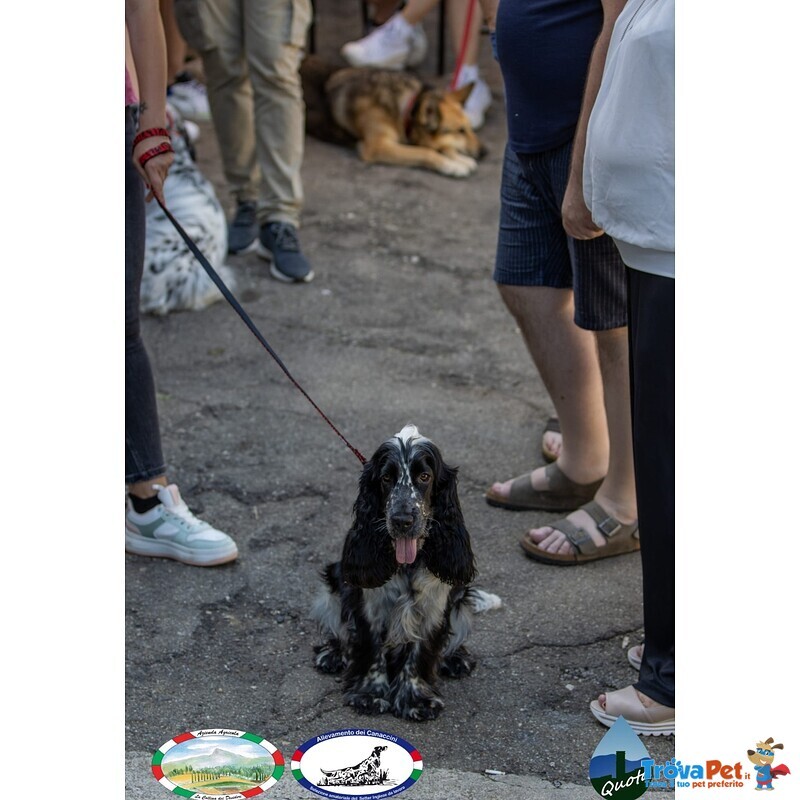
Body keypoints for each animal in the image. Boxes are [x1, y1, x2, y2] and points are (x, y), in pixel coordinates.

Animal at [312, 428, 500, 720]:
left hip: (460, 600)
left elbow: (419, 653)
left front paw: (415, 699)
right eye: (386, 478)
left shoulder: (434, 607)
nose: (402, 521)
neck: (407, 564)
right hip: (334, 582)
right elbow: (372, 648)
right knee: (339, 629)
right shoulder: (369, 605)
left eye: (424, 476)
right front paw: (370, 694)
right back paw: (332, 654)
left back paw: (455, 659)